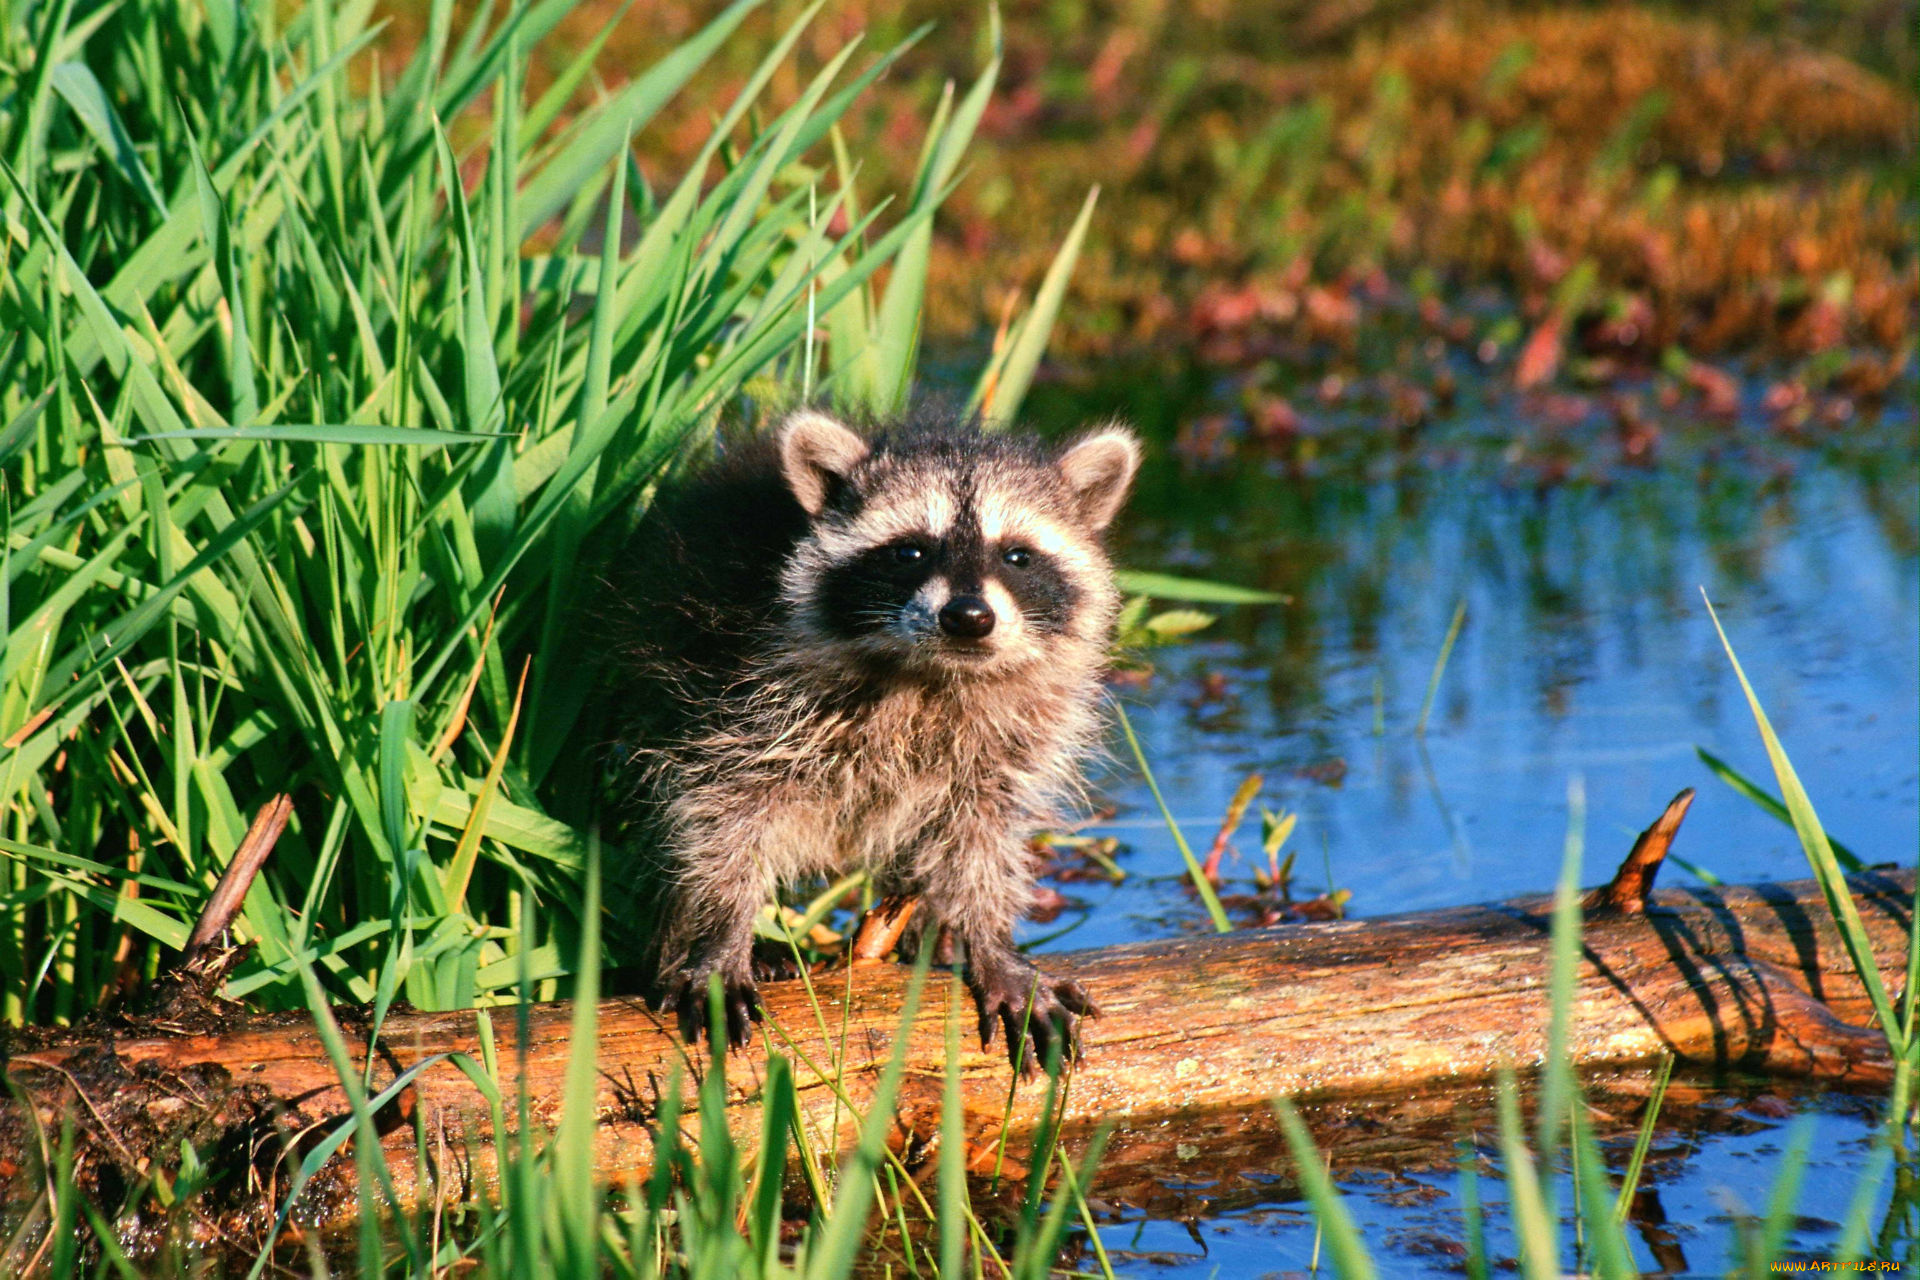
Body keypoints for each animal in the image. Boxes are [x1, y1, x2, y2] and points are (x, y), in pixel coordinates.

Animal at [609, 408, 1139, 1071]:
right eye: (909, 550)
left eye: (1017, 556)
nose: (968, 617)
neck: (934, 673)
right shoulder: (731, 692)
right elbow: (719, 813)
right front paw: (721, 931)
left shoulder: (1012, 736)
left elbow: (983, 832)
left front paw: (990, 938)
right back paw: (680, 940)